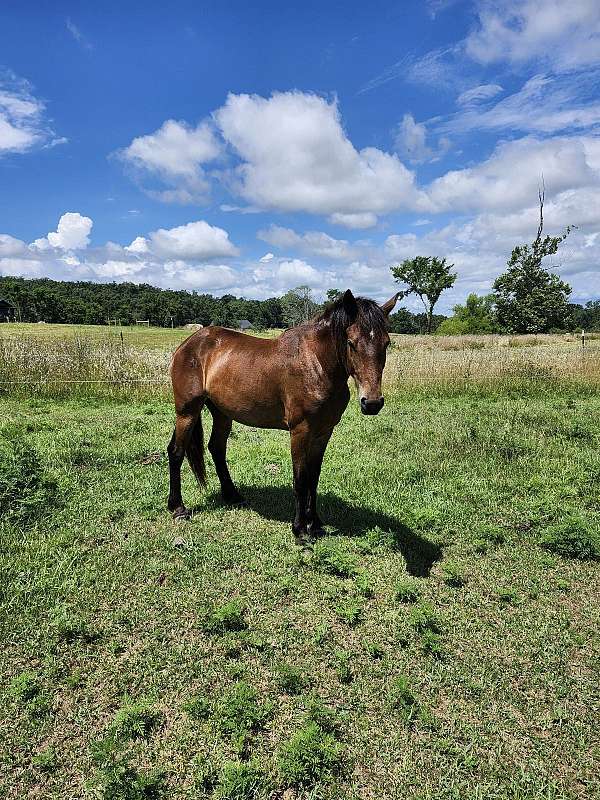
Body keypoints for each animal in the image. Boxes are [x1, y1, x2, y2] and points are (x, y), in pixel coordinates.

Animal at [167, 289, 399, 541]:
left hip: (222, 413)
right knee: (176, 452)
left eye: (386, 343)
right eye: (351, 342)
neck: (317, 365)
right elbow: (301, 478)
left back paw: (232, 496)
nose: (372, 403)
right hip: (187, 411)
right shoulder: (300, 431)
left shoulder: (323, 432)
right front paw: (300, 529)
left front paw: (316, 524)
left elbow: (314, 477)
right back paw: (177, 508)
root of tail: (188, 344)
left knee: (217, 448)